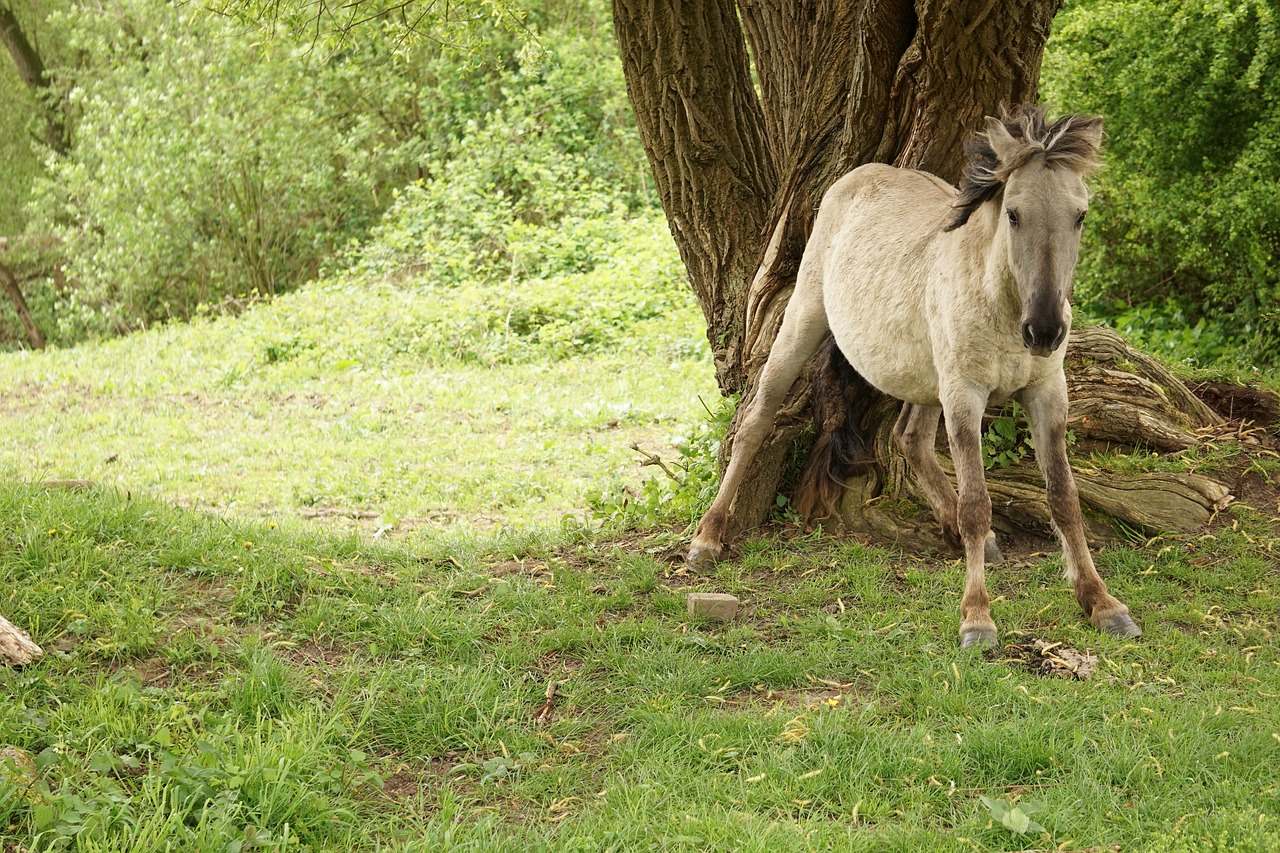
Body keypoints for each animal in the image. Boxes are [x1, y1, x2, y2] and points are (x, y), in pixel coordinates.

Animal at [691, 103, 1141, 645]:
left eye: (1080, 215)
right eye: (1013, 213)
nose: (1046, 330)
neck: (1001, 303)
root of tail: (860, 175)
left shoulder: (1046, 392)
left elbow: (1064, 498)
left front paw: (1101, 602)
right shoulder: (965, 394)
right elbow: (977, 503)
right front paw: (977, 618)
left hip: (927, 380)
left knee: (909, 438)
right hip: (804, 320)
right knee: (756, 421)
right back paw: (707, 538)